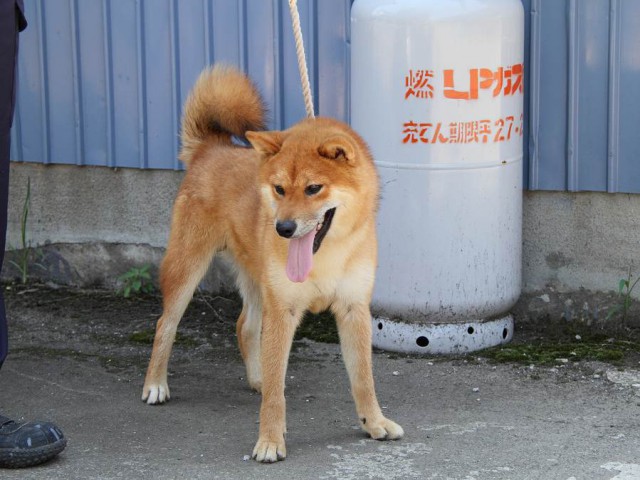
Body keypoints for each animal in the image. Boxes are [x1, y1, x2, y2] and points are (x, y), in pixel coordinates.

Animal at [142, 65, 402, 464]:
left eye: (313, 188)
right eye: (279, 189)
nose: (283, 228)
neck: (325, 255)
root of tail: (210, 148)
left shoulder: (352, 307)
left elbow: (363, 379)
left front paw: (374, 422)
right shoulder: (284, 309)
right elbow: (277, 396)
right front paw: (269, 440)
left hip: (258, 280)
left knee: (244, 326)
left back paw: (259, 378)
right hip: (188, 268)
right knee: (165, 325)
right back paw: (156, 384)